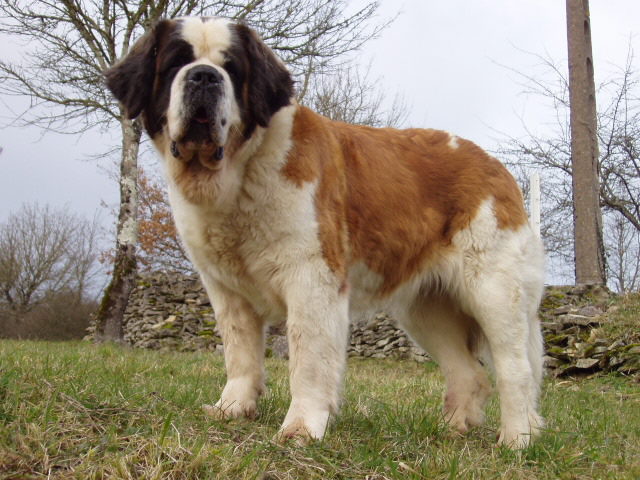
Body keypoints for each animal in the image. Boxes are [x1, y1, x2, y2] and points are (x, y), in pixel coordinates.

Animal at [105, 16, 545, 448]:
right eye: (176, 64)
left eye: (231, 68)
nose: (204, 77)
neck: (241, 170)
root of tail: (496, 166)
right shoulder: (226, 290)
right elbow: (240, 351)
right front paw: (233, 408)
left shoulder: (311, 277)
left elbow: (309, 358)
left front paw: (301, 427)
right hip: (426, 309)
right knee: (468, 372)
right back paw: (451, 431)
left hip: (492, 291)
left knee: (515, 367)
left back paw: (516, 439)